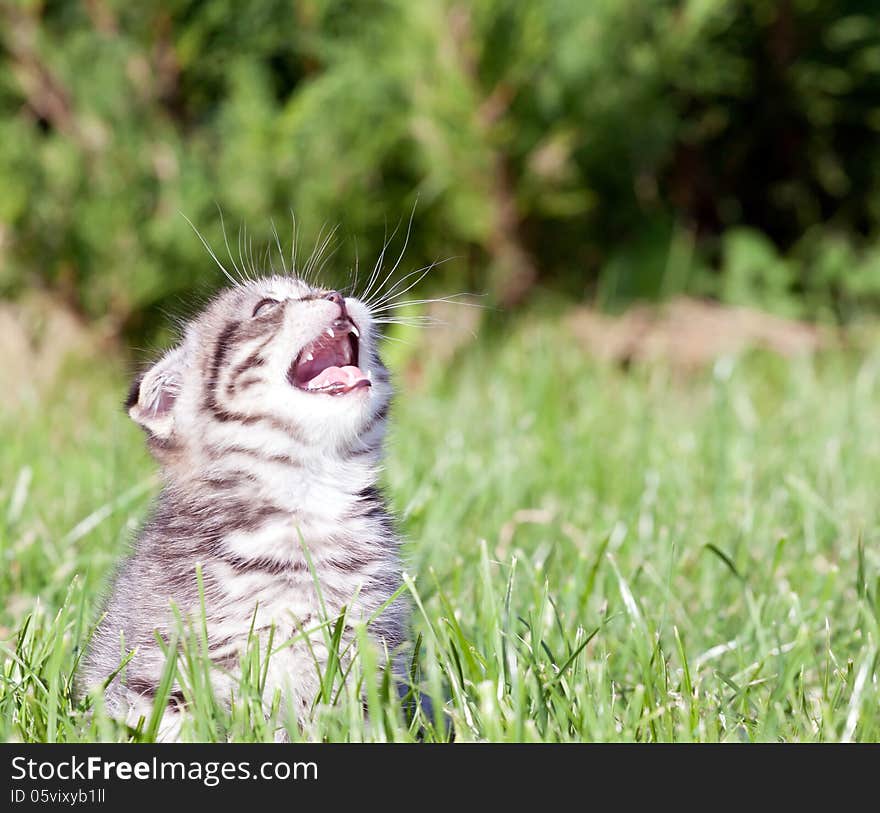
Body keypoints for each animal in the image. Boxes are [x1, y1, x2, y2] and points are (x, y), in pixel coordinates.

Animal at [77, 276, 408, 740]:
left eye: (321, 289)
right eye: (266, 307)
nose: (336, 297)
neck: (304, 505)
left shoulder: (370, 653)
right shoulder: (158, 667)